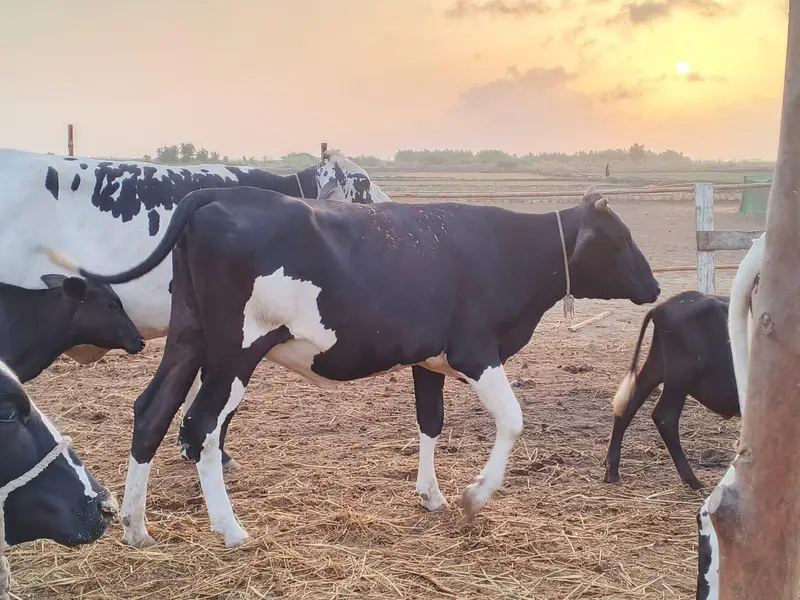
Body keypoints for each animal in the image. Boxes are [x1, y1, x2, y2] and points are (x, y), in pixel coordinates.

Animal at [45, 184, 661, 549]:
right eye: (621, 239)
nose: (654, 287)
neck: (507, 252)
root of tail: (222, 192)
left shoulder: (428, 358)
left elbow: (430, 423)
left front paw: (432, 496)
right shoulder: (475, 350)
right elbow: (512, 420)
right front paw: (474, 495)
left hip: (189, 336)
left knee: (151, 412)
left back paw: (135, 526)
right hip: (237, 348)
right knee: (201, 428)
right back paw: (231, 530)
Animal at [603, 290, 739, 490]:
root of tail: (662, 307)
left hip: (656, 368)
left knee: (627, 407)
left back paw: (612, 471)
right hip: (679, 378)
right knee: (665, 417)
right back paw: (693, 481)